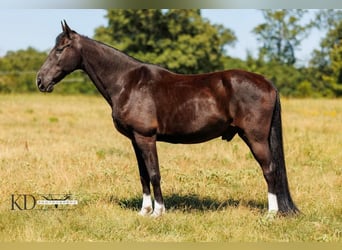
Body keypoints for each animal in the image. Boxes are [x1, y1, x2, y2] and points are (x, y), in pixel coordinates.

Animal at [37, 21, 298, 217]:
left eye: (60, 49)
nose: (40, 80)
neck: (128, 83)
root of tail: (267, 82)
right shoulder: (135, 140)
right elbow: (143, 175)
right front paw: (144, 211)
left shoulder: (146, 137)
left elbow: (154, 173)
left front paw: (158, 212)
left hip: (255, 138)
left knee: (269, 170)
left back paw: (271, 213)